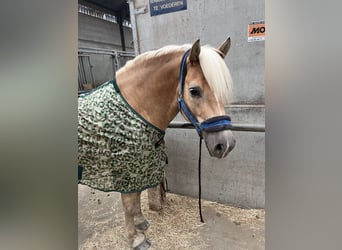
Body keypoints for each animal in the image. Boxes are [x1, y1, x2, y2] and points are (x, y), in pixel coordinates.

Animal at [79, 36, 236, 249]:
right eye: (194, 91)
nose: (225, 144)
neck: (135, 108)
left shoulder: (140, 166)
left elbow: (136, 198)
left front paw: (141, 222)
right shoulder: (124, 169)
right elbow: (128, 203)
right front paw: (135, 239)